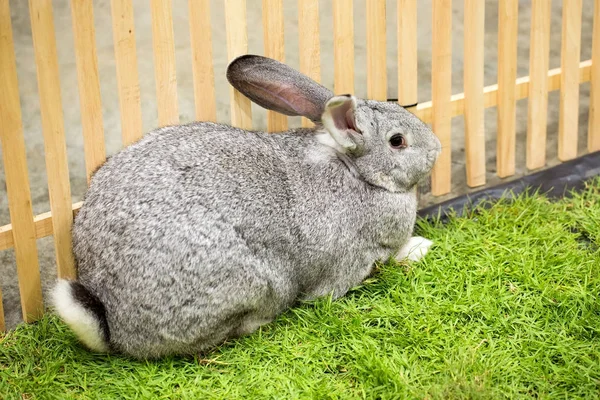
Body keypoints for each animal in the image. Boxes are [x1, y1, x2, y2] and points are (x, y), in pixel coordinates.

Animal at [51, 55, 442, 360]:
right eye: (397, 142)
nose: (437, 147)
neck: (358, 172)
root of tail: (113, 325)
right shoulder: (352, 262)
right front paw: (420, 247)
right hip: (258, 284)